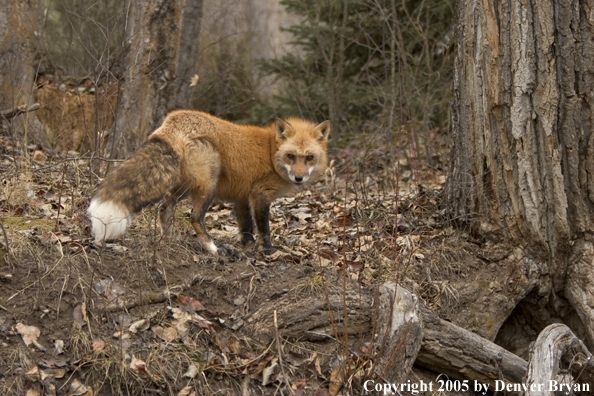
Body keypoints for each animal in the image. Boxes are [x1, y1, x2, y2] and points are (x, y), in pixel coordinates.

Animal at [87, 110, 328, 255]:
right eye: (291, 156)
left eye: (309, 157)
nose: (299, 177)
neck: (271, 152)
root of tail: (173, 119)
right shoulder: (260, 195)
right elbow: (263, 228)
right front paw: (268, 250)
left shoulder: (242, 197)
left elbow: (246, 227)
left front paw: (247, 246)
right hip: (207, 185)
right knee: (195, 218)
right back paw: (213, 249)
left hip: (184, 187)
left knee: (164, 208)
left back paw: (169, 239)